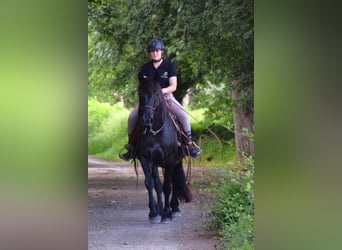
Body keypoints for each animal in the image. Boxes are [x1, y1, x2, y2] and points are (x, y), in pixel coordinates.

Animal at [134, 75, 192, 223]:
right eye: (140, 94)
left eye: (156, 95)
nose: (146, 119)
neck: (156, 130)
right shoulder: (145, 159)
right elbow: (151, 183)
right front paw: (154, 213)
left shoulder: (170, 160)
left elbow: (167, 186)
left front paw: (166, 214)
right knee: (158, 183)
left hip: (176, 161)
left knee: (173, 182)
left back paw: (174, 209)